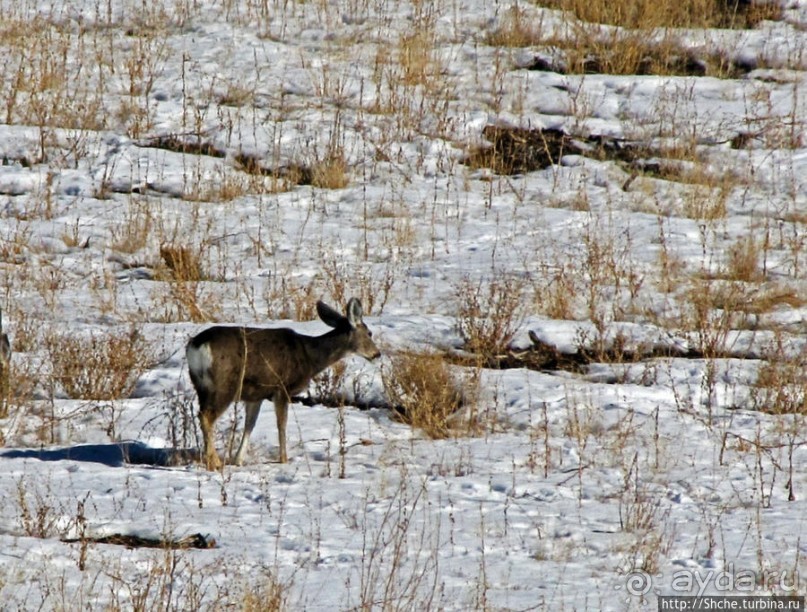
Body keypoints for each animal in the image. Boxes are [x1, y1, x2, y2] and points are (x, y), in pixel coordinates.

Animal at [186, 296, 382, 468]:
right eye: (369, 333)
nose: (377, 354)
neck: (310, 357)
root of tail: (197, 345)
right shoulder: (282, 388)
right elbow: (282, 424)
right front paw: (284, 459)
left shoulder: (256, 394)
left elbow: (250, 424)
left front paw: (238, 460)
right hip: (223, 385)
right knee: (206, 417)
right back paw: (214, 462)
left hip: (201, 385)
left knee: (202, 415)